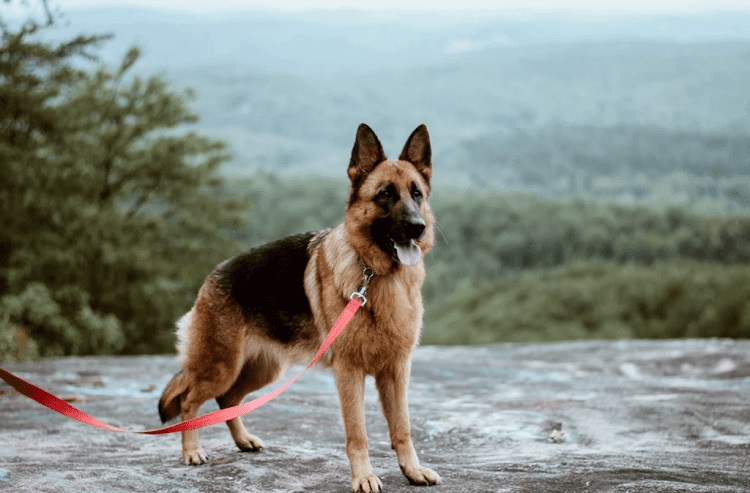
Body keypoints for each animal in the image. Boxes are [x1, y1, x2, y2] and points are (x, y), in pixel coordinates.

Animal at [159, 124, 440, 492]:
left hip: (262, 371)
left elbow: (402, 427)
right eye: (385, 195)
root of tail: (212, 275)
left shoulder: (396, 371)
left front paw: (412, 470)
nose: (418, 227)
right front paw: (364, 476)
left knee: (227, 401)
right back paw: (192, 451)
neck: (375, 275)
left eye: (416, 194)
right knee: (190, 400)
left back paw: (243, 440)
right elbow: (358, 433)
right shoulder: (349, 373)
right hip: (220, 368)